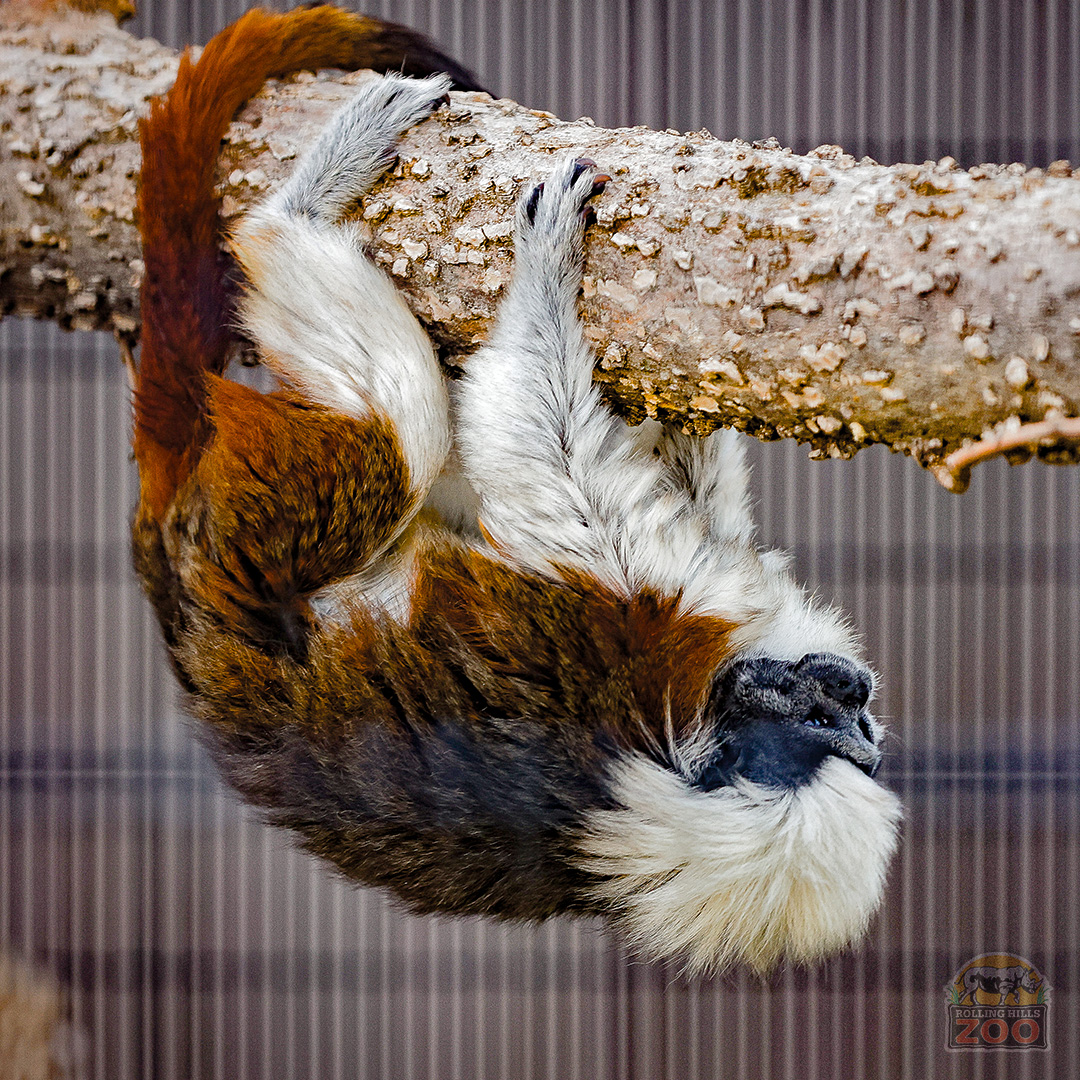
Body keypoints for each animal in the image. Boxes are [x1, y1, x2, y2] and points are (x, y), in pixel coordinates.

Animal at [131, 5, 901, 975]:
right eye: (823, 709)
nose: (858, 700)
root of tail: (188, 617)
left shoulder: (647, 623)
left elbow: (546, 465)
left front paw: (545, 276)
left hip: (257, 533)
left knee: (403, 434)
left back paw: (287, 218)